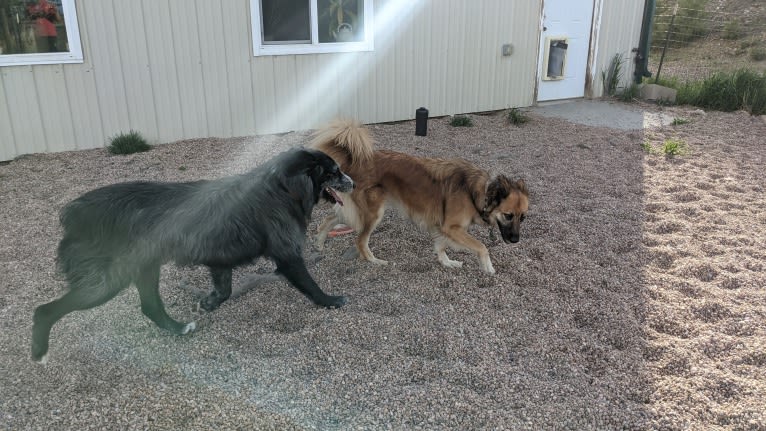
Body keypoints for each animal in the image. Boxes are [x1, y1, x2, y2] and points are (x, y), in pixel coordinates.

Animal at [30, 148, 354, 364]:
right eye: (333, 172)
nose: (353, 182)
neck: (283, 188)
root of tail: (78, 211)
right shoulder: (287, 255)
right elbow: (310, 285)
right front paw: (331, 301)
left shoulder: (220, 261)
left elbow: (224, 291)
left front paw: (208, 303)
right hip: (108, 282)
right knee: (44, 310)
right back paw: (39, 353)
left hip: (144, 269)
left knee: (150, 306)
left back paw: (178, 328)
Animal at [312, 119, 528, 274]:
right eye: (508, 215)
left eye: (523, 217)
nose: (516, 240)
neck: (479, 191)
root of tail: (354, 160)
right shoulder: (452, 227)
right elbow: (481, 246)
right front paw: (488, 267)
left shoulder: (445, 227)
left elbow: (441, 245)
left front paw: (447, 263)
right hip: (374, 213)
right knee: (360, 241)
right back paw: (375, 261)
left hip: (357, 210)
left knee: (329, 219)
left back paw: (320, 242)